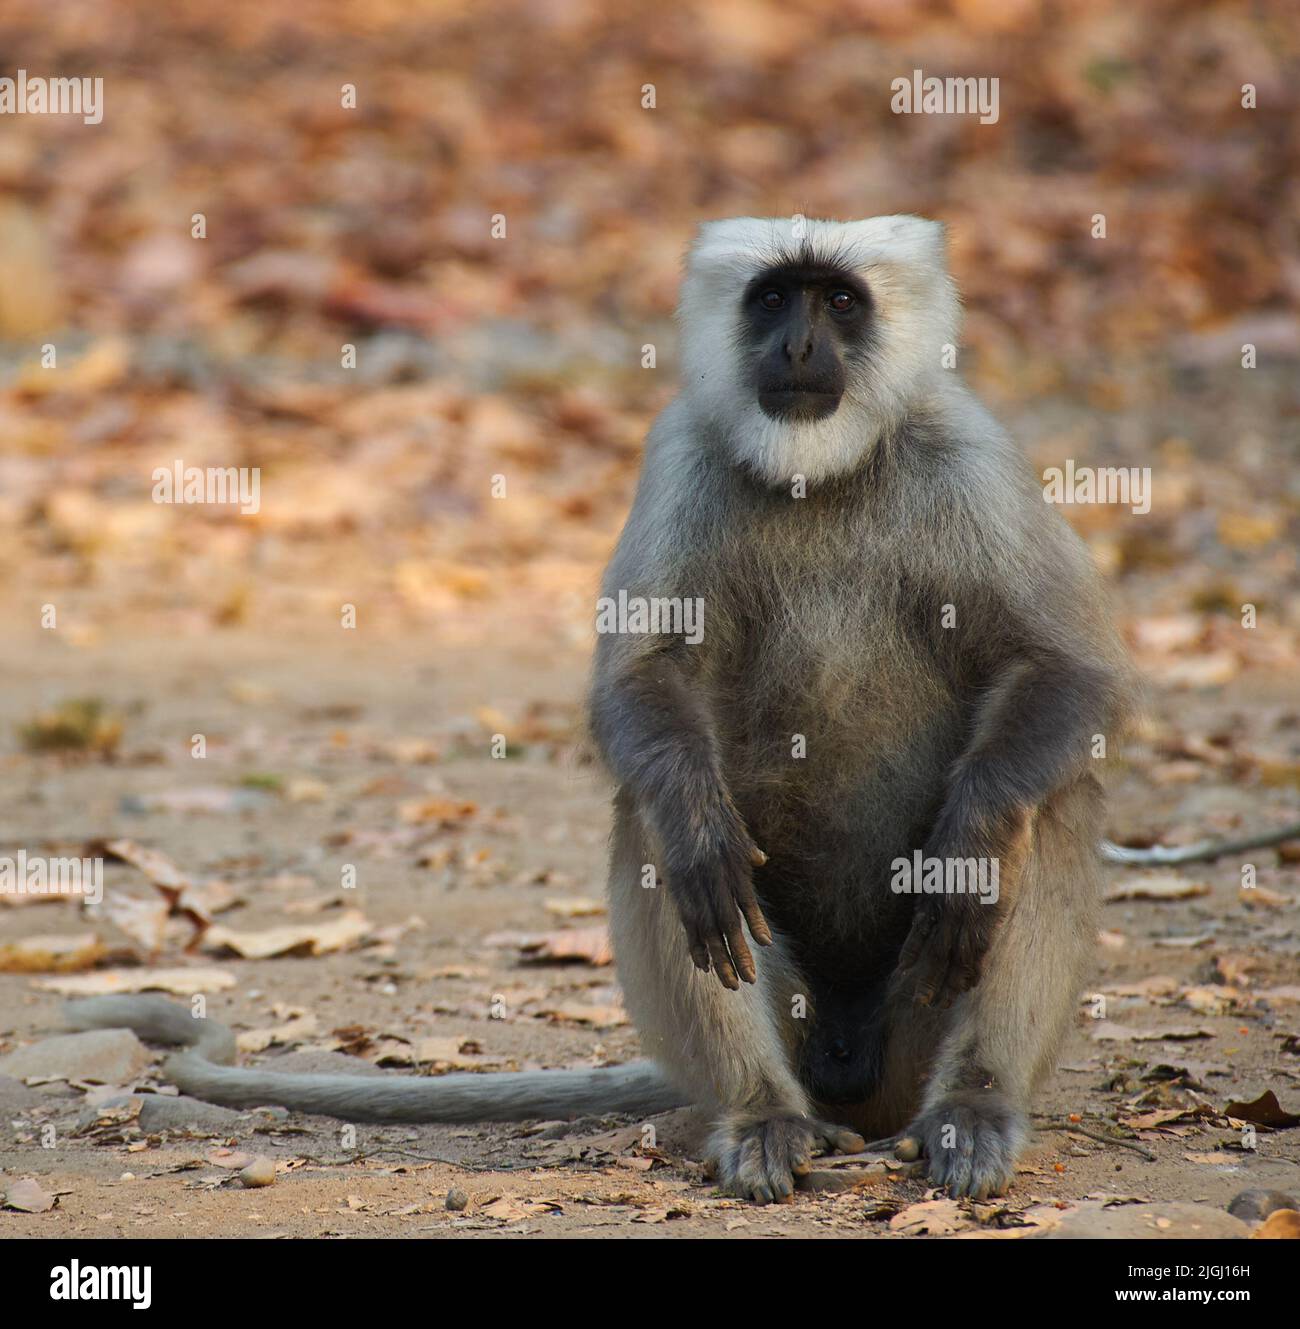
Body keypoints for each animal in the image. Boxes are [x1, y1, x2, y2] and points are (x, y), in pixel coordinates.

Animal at [65, 215, 1132, 1206]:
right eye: (773, 300)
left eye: (837, 301)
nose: (796, 349)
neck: (822, 470)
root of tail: (848, 1079)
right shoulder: (682, 451)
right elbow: (641, 688)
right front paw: (697, 829)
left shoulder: (970, 454)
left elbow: (1068, 673)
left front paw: (969, 849)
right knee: (663, 826)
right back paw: (762, 1113)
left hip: (909, 1026)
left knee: (1045, 803)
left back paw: (971, 1106)